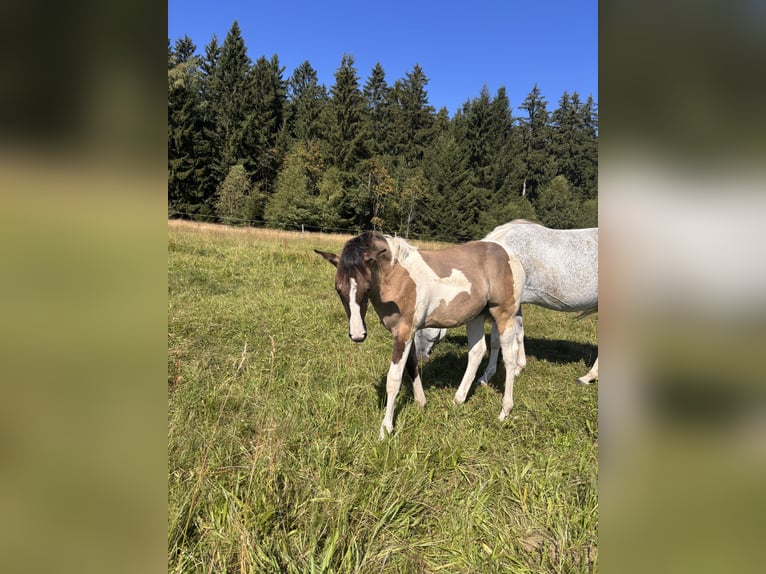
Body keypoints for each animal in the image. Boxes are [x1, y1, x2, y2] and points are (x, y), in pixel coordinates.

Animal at [316, 231, 525, 438]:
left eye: (367, 287)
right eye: (338, 289)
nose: (358, 335)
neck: (396, 275)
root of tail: (510, 256)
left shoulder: (403, 332)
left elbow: (394, 379)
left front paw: (385, 429)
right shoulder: (406, 333)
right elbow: (411, 365)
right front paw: (421, 403)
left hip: (504, 315)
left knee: (509, 356)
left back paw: (505, 410)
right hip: (476, 316)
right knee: (477, 351)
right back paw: (458, 400)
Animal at [415, 220, 598, 385]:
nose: (420, 356)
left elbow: (497, 341)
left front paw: (486, 377)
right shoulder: (515, 306)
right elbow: (519, 333)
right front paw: (519, 367)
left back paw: (588, 377)